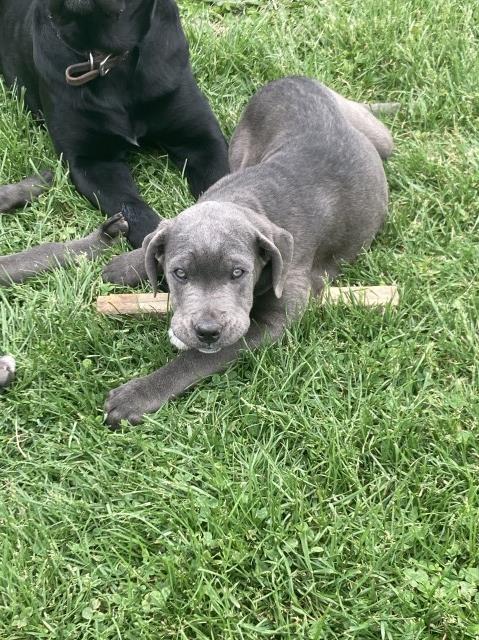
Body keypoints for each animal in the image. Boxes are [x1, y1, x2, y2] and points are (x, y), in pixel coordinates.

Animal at [104, 77, 394, 428]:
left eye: (238, 272)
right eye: (179, 273)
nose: (207, 331)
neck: (246, 200)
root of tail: (293, 78)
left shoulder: (273, 321)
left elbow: (198, 358)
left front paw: (137, 394)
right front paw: (124, 265)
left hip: (381, 139)